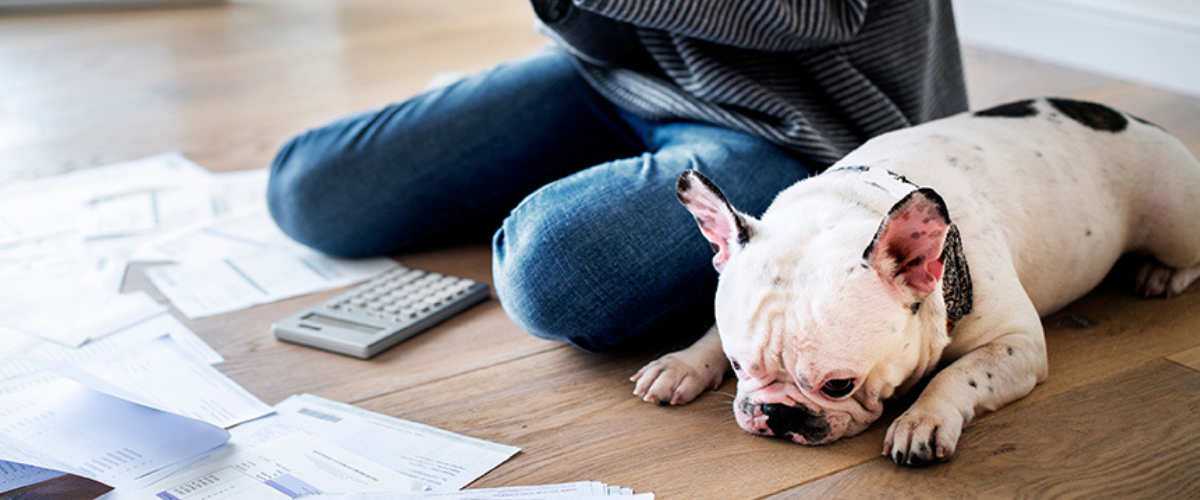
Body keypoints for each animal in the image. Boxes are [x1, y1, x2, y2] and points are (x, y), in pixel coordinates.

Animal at [628, 97, 1200, 462]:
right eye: (737, 365)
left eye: (838, 385)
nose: (774, 413)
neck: (856, 205)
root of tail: (1136, 120)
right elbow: (708, 331)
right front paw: (683, 364)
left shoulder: (1016, 344)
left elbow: (960, 374)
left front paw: (922, 420)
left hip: (1176, 221)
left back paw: (1161, 274)